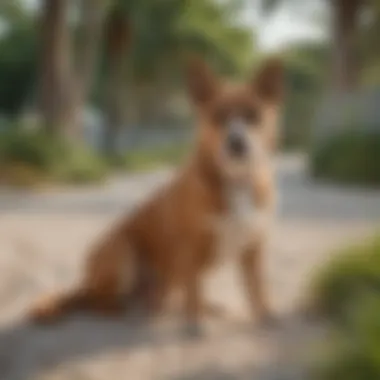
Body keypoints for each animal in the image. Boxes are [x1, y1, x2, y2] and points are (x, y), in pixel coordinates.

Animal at [29, 55, 282, 326]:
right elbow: (195, 290)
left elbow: (257, 288)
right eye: (218, 116)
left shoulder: (253, 248)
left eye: (253, 115)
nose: (237, 142)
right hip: (121, 250)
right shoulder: (190, 247)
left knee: (168, 295)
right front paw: (195, 324)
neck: (237, 180)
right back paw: (119, 309)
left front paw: (266, 315)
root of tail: (85, 283)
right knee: (96, 300)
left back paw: (186, 306)